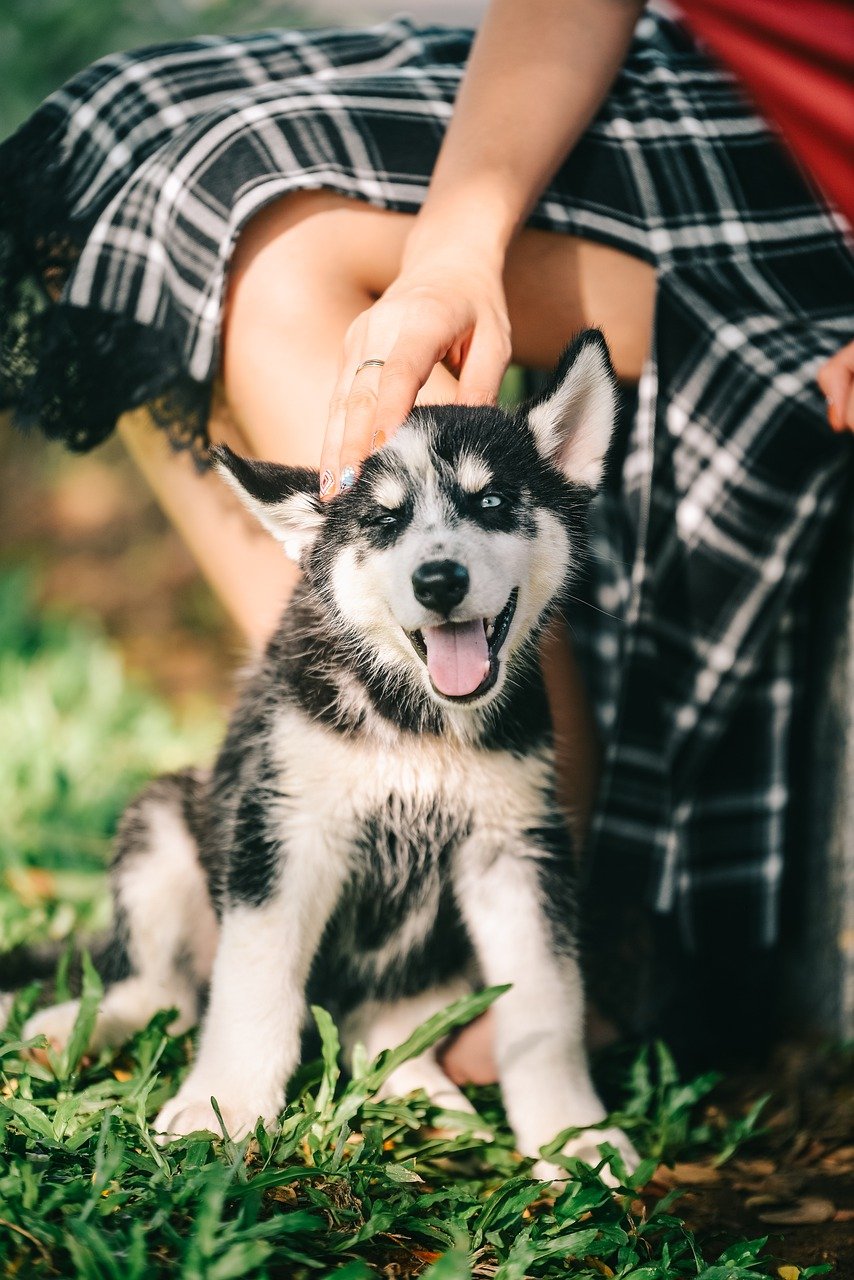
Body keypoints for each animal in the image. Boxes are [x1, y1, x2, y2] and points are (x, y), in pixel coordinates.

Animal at [20, 332, 637, 1177]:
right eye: (383, 522)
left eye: (491, 503)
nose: (439, 580)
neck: (415, 724)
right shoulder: (284, 831)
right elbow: (253, 984)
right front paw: (223, 1107)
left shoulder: (515, 851)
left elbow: (547, 1002)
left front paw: (573, 1135)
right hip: (165, 826)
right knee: (165, 990)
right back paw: (70, 1030)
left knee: (378, 1028)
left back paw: (426, 1095)